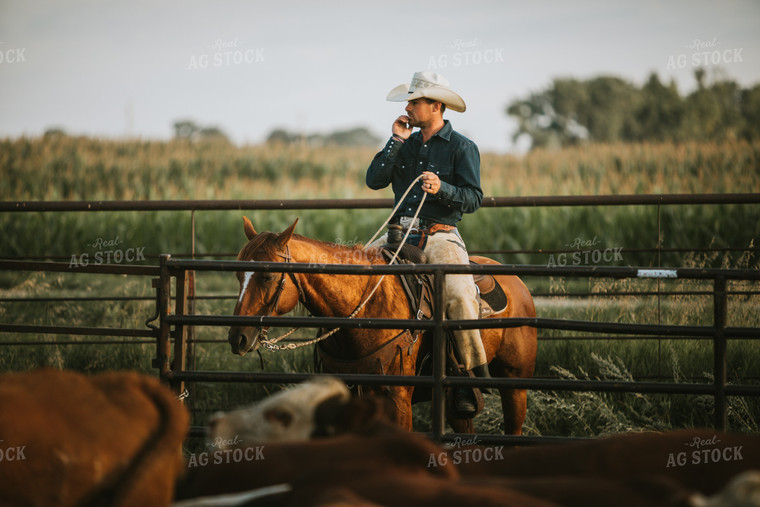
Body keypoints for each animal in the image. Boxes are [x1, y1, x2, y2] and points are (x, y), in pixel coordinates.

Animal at [229, 216, 536, 434]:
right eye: (237, 274)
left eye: (268, 277)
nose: (237, 338)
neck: (364, 307)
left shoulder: (397, 399)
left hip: (515, 383)